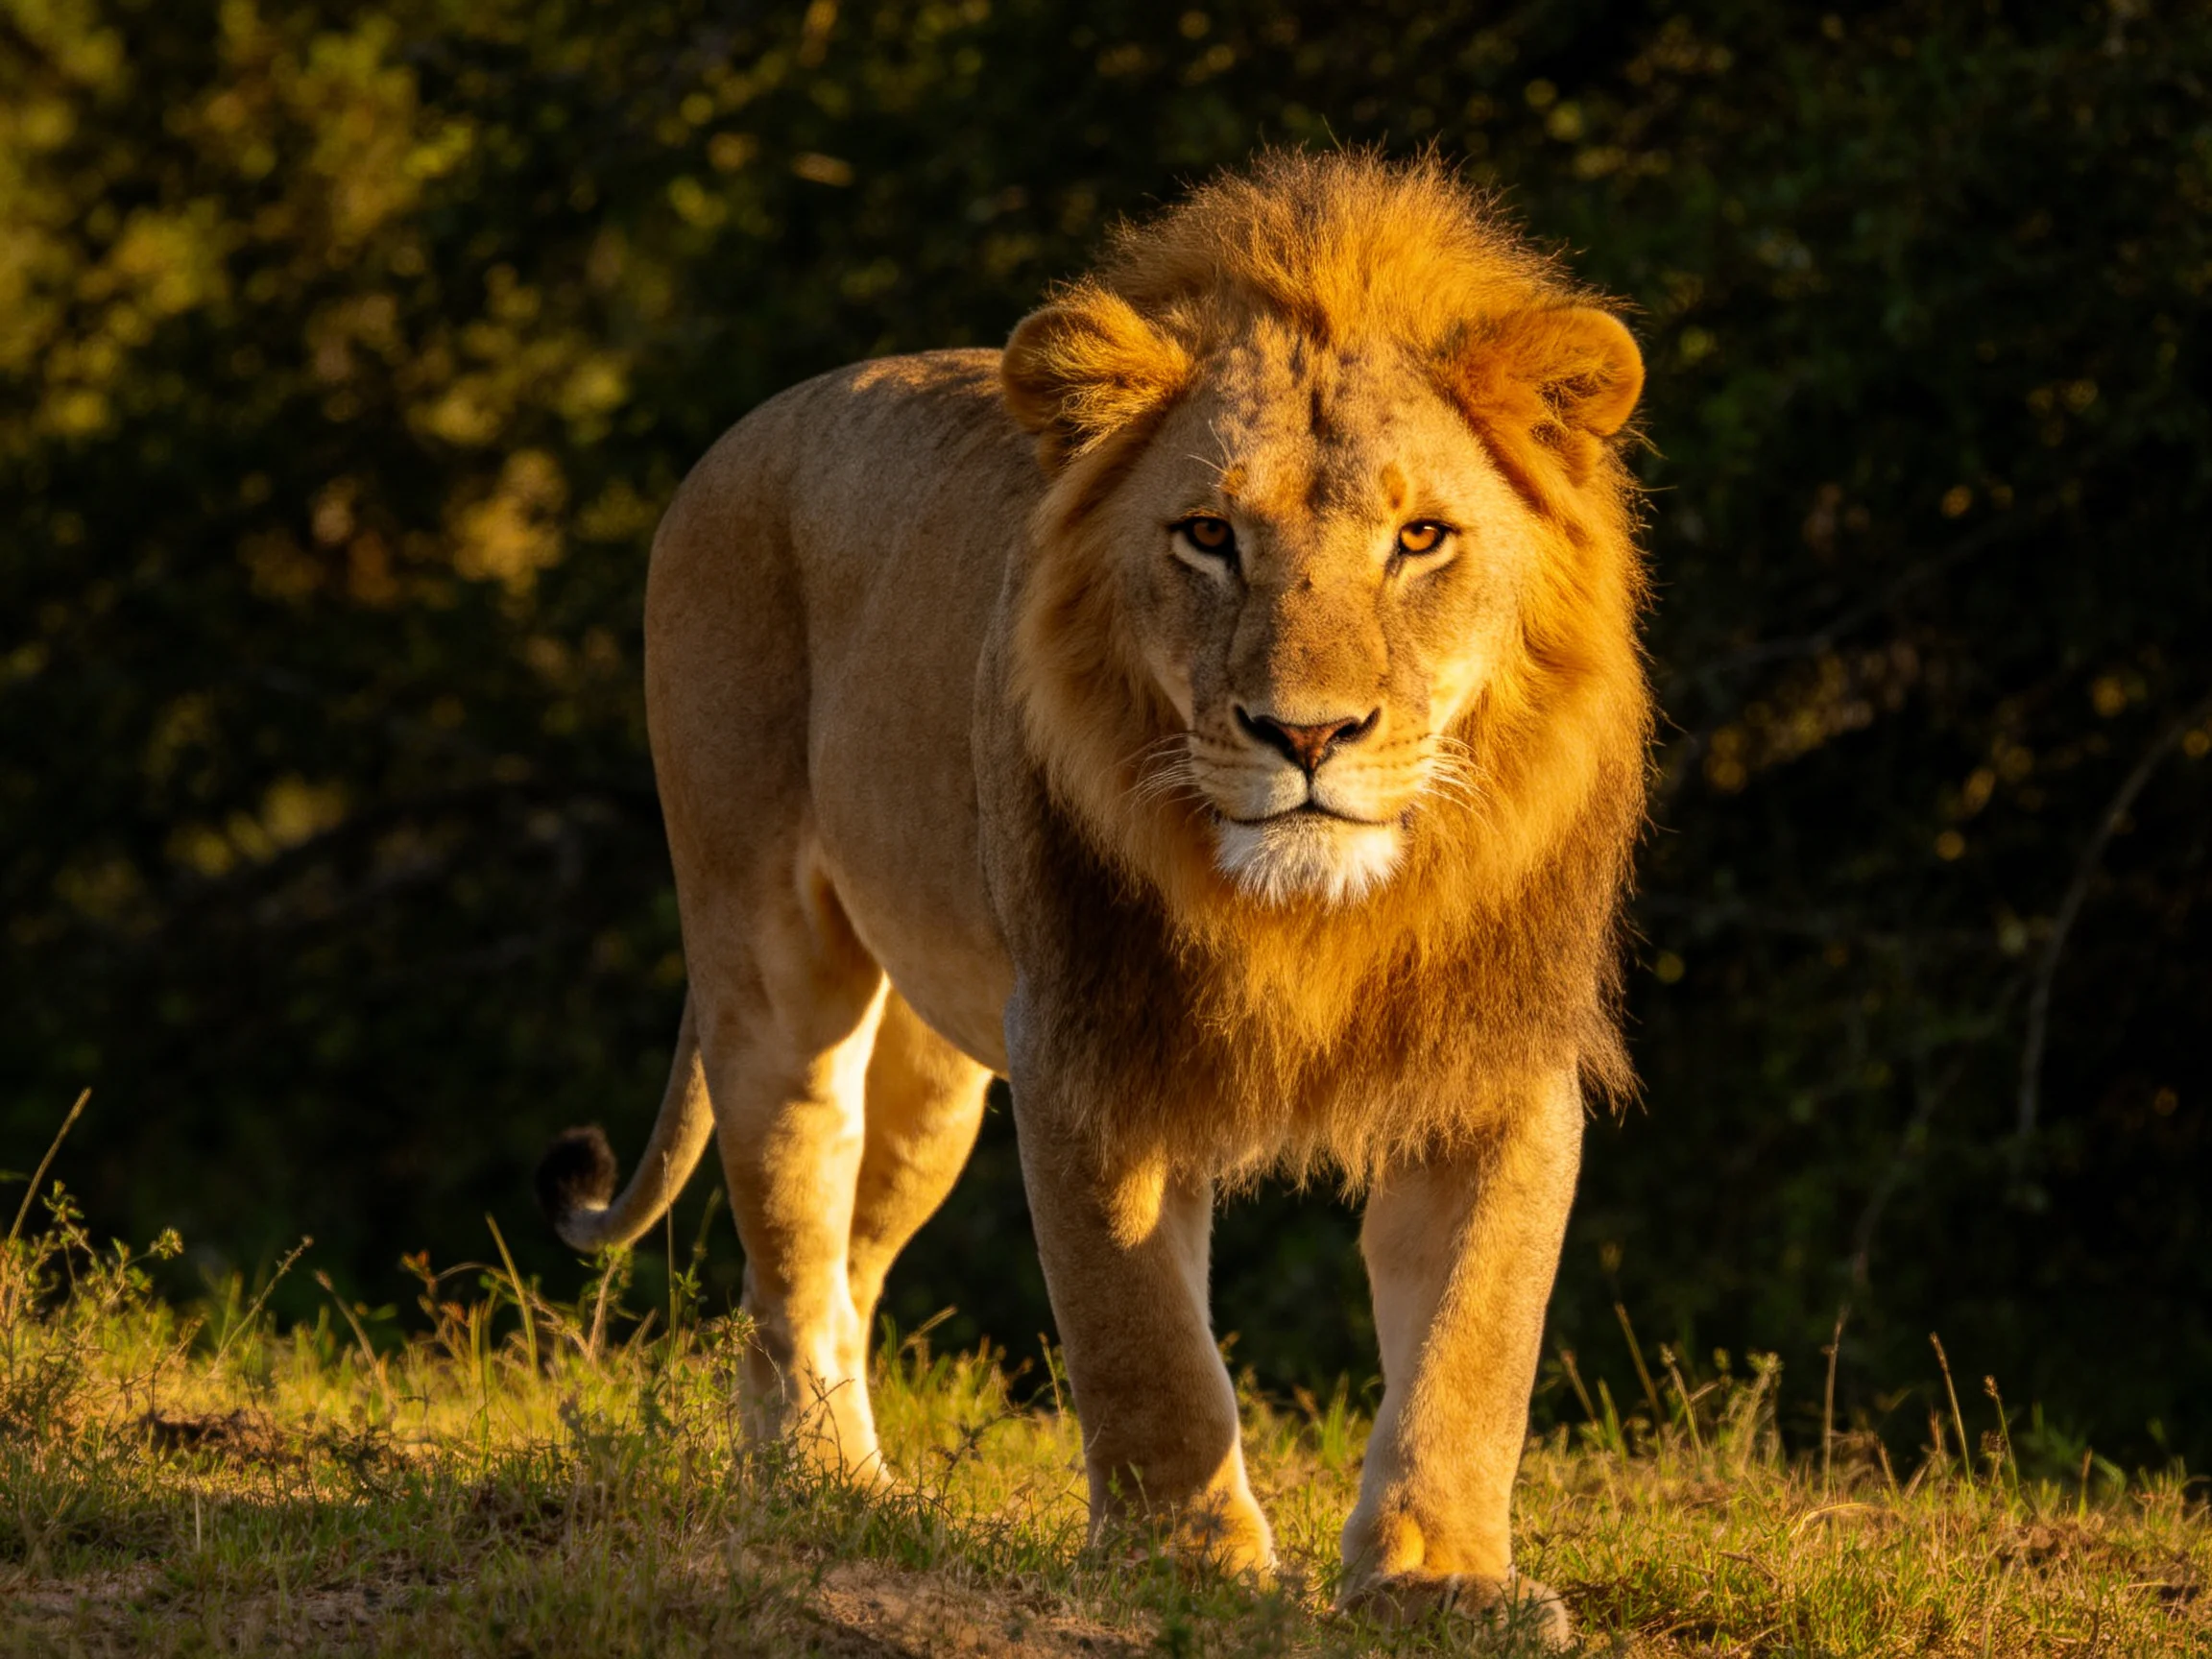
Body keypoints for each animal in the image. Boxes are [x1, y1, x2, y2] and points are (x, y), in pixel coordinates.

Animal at [538, 150, 1647, 1645]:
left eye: (1422, 537)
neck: (1315, 916)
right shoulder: (1087, 1037)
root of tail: (742, 433)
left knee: (851, 1254)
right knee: (790, 1233)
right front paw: (1192, 1563)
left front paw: (1439, 1578)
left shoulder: (1494, 1058)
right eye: (1207, 536)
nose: (1307, 734)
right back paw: (826, 1487)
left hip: (938, 1088)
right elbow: (1140, 1334)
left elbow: (1476, 1338)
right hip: (769, 960)